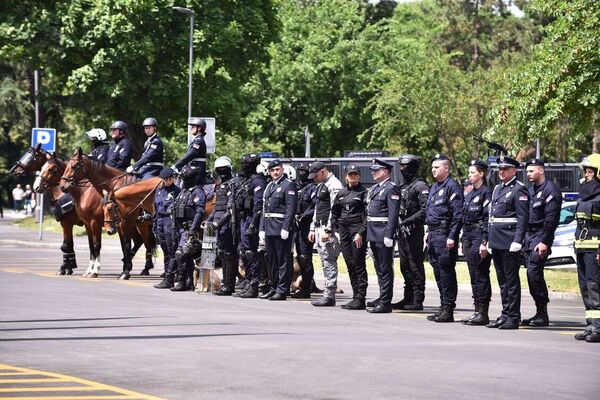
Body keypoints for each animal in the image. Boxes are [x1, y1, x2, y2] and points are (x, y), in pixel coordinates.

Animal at [61, 148, 157, 282]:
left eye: (74, 166)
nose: (62, 186)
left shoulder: (115, 224)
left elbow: (121, 246)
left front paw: (122, 272)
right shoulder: (90, 224)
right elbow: (94, 246)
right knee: (145, 242)